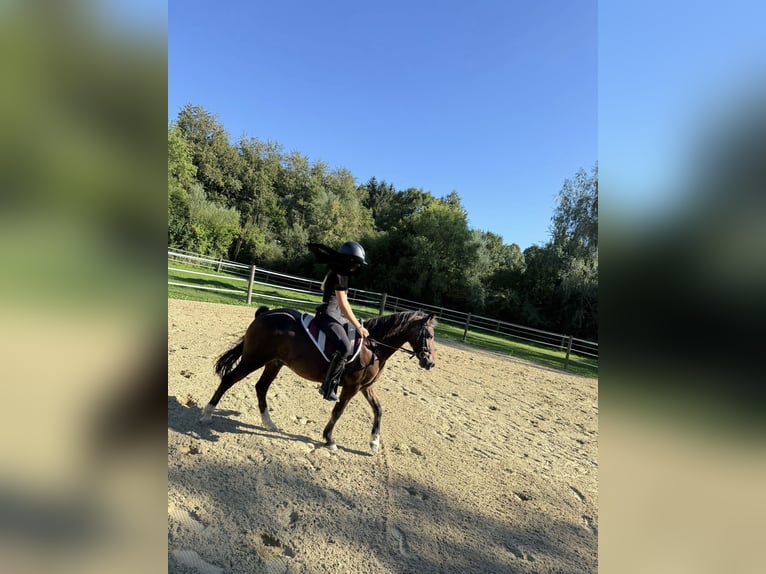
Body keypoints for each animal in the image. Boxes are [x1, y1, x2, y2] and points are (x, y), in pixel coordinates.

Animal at [199, 306, 437, 453]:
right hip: (254, 359)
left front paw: (374, 443)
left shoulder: (365, 387)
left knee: (261, 387)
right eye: (429, 335)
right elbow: (338, 411)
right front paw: (330, 440)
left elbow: (378, 410)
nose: (430, 363)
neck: (374, 347)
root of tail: (264, 315)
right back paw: (207, 414)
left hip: (273, 363)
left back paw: (269, 423)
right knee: (229, 380)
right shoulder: (352, 386)